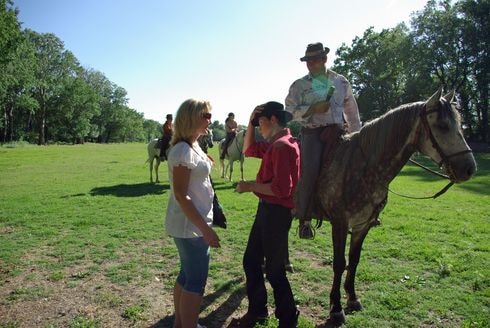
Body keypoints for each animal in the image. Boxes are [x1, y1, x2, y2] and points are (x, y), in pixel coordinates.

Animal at [312, 88, 476, 326]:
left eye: (460, 123)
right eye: (443, 126)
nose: (469, 169)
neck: (364, 168)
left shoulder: (362, 225)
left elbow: (354, 260)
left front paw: (352, 298)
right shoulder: (340, 223)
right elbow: (339, 263)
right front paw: (335, 308)